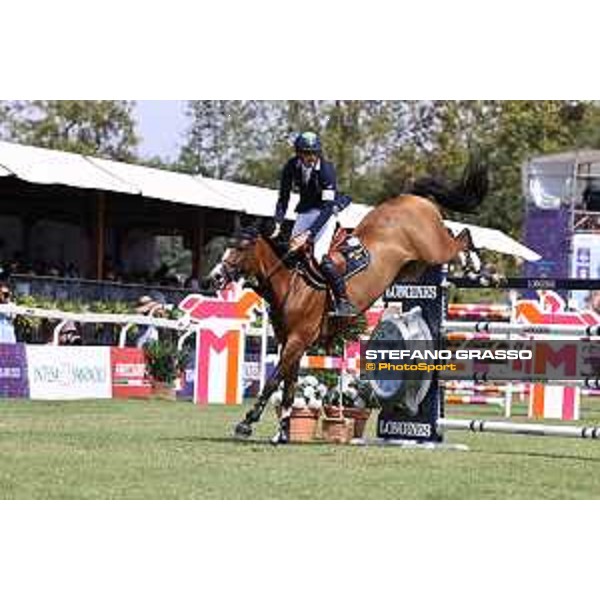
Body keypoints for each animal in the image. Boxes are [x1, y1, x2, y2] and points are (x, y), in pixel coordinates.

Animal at [206, 156, 488, 440]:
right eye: (226, 245)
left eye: (241, 248)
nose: (215, 277)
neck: (290, 284)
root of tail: (409, 197)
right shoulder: (290, 341)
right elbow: (289, 387)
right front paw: (283, 432)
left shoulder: (298, 339)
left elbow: (274, 380)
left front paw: (247, 422)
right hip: (415, 266)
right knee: (453, 235)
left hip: (434, 249)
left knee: (461, 236)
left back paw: (479, 267)